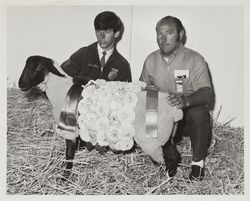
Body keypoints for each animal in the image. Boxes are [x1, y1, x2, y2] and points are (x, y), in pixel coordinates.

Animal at [18, 55, 184, 179]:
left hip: (152, 140)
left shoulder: (69, 128)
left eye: (39, 67)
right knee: (174, 156)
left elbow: (69, 154)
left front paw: (65, 177)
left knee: (166, 160)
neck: (59, 88)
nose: (21, 84)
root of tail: (175, 111)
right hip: (165, 137)